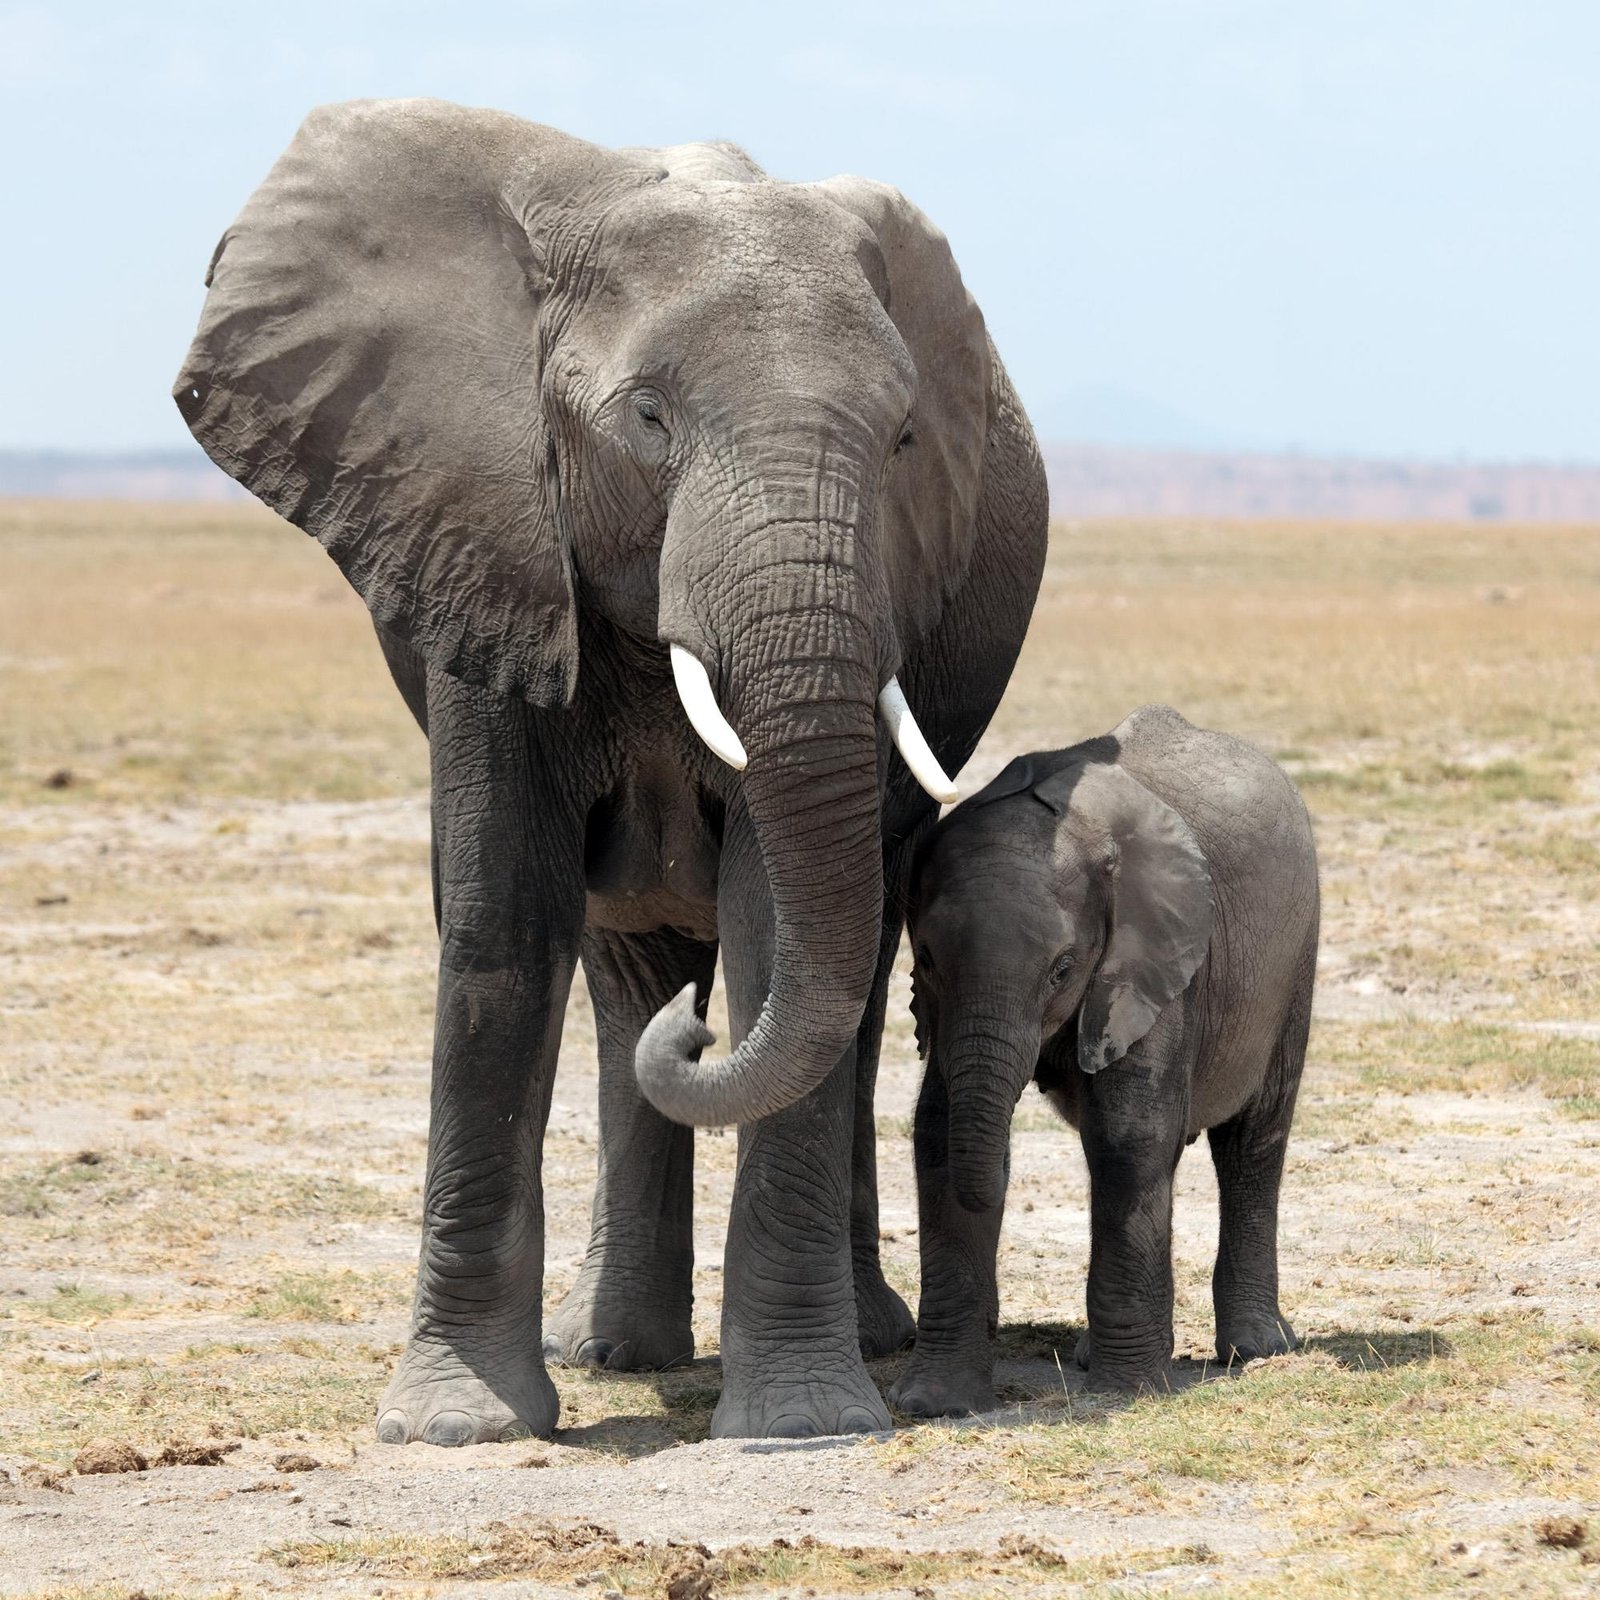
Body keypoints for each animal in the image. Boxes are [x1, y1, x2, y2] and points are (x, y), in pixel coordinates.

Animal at [173, 99, 1048, 1443]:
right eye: (647, 417)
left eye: (904, 438)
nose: (701, 1038)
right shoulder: (480, 538)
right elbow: (502, 922)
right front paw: (458, 1427)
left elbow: (774, 925)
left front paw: (799, 1423)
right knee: (619, 973)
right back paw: (613, 1347)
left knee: (831, 980)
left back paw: (846, 1333)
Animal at [888, 705, 1318, 1415]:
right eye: (924, 959)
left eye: (1062, 970)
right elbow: (937, 1133)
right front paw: (934, 1403)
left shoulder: (1152, 955)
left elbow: (1129, 1135)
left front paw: (1130, 1396)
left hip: (1295, 958)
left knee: (1253, 1139)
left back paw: (1257, 1349)